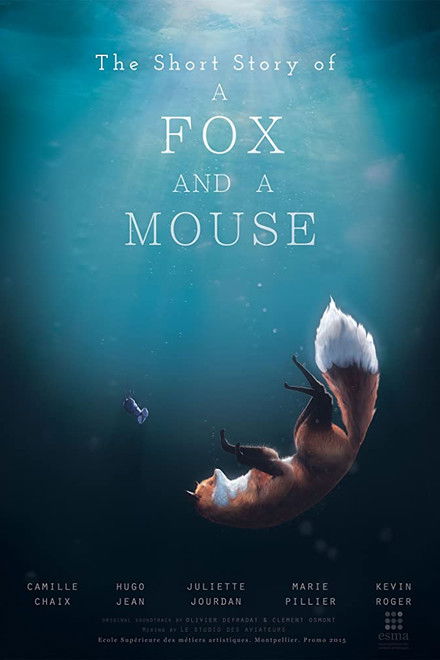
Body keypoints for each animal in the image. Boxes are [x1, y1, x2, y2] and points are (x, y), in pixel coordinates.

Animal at [188, 299, 379, 529]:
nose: (214, 473)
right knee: (324, 396)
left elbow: (258, 453)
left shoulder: (271, 459)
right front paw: (237, 452)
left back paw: (300, 381)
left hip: (300, 430)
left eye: (207, 481)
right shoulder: (282, 473)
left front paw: (229, 446)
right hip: (306, 436)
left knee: (322, 394)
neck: (234, 503)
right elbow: (255, 461)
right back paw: (306, 383)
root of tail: (354, 446)